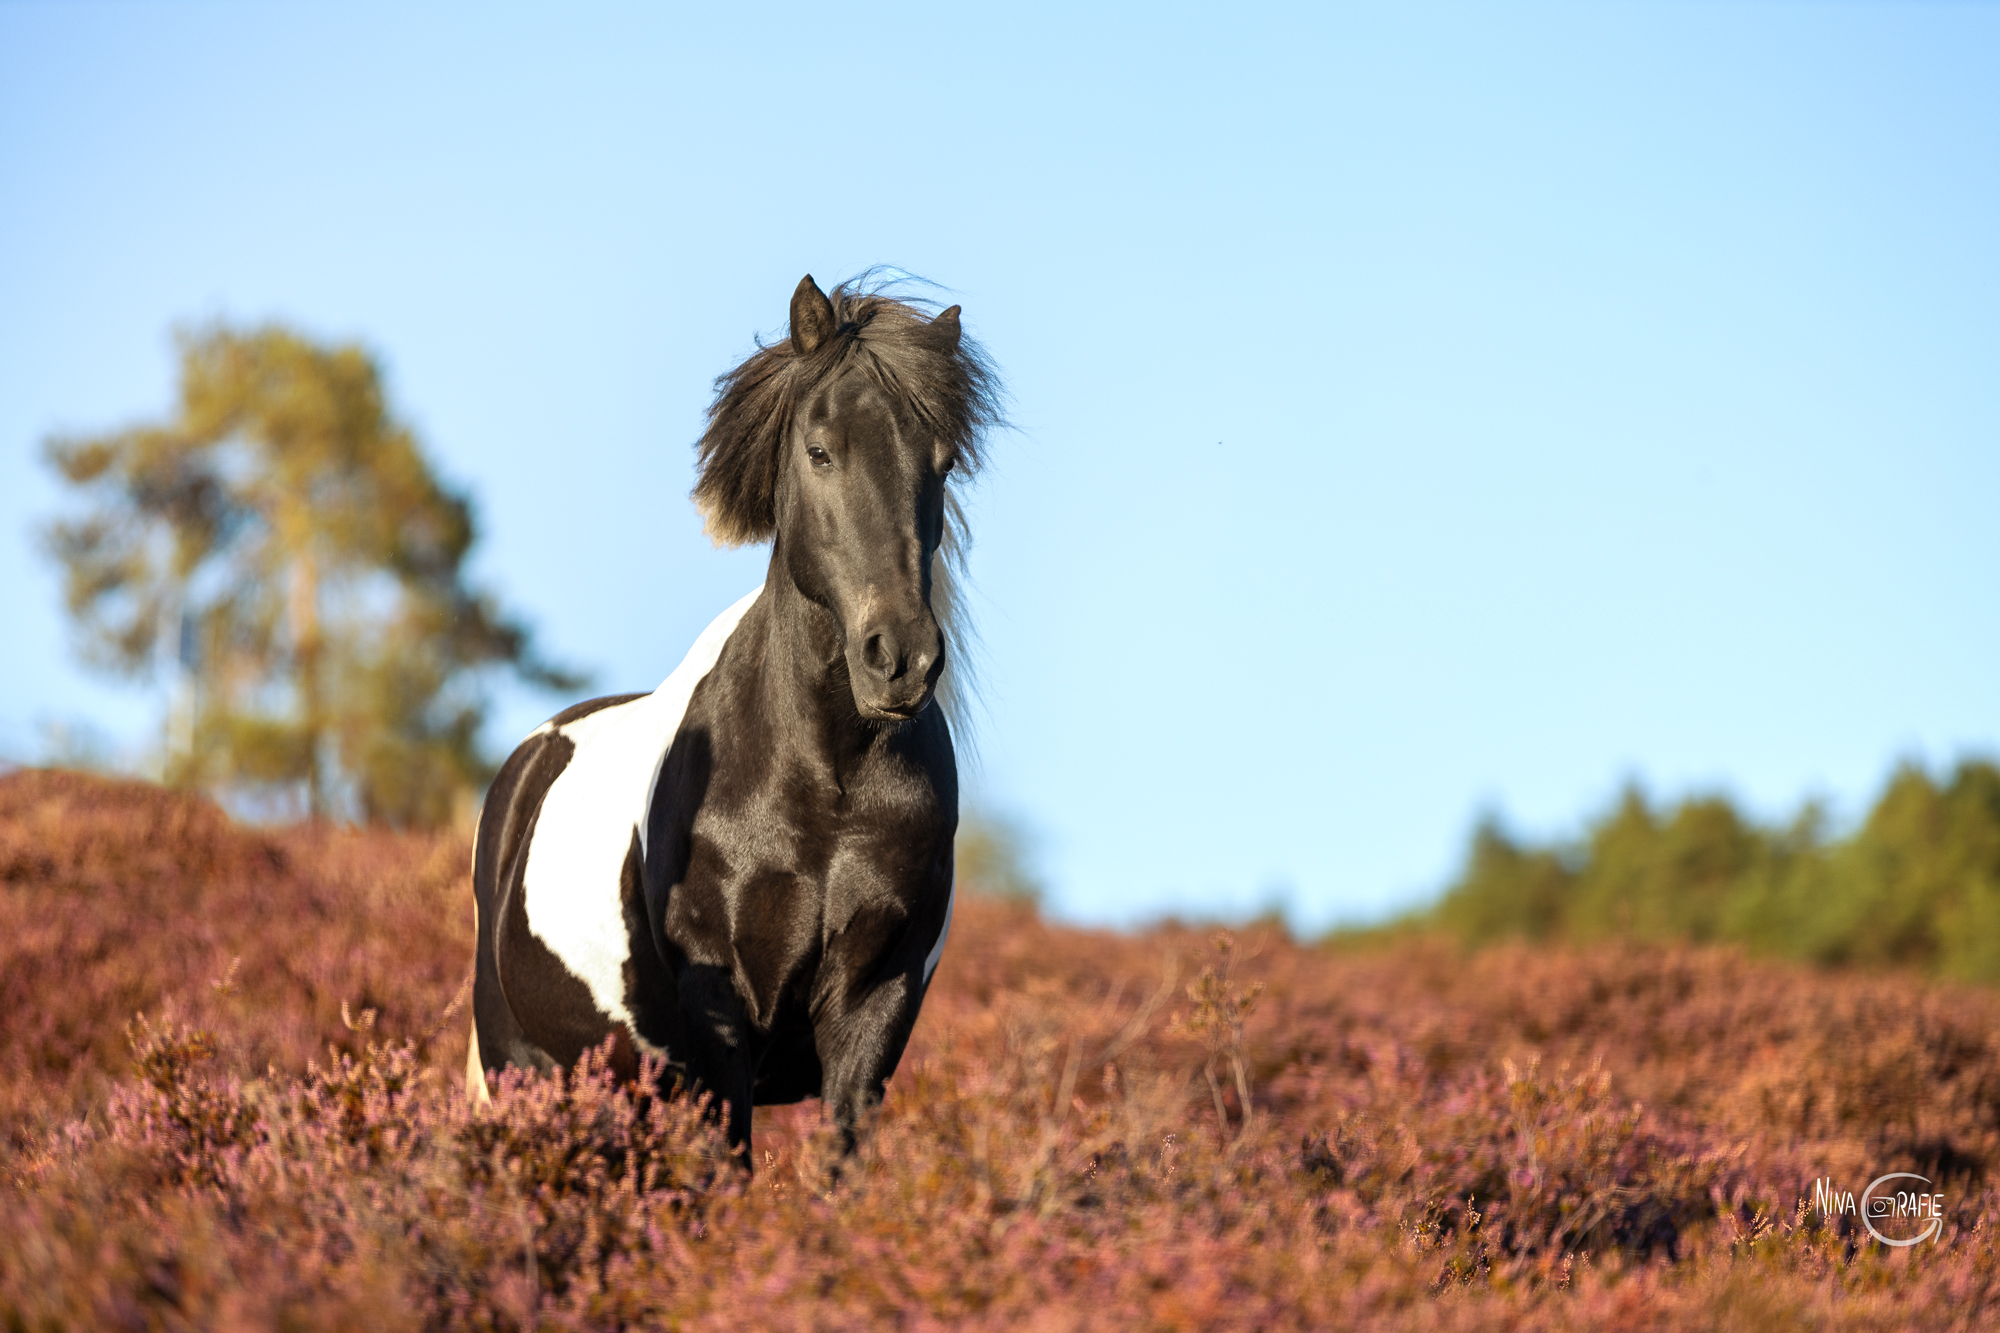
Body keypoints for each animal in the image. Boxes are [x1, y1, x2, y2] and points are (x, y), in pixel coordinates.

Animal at [466, 273, 1000, 1159]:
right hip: (527, 1071)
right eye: (819, 449)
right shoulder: (722, 1018)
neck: (826, 784)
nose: (902, 658)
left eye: (944, 461)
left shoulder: (874, 1010)